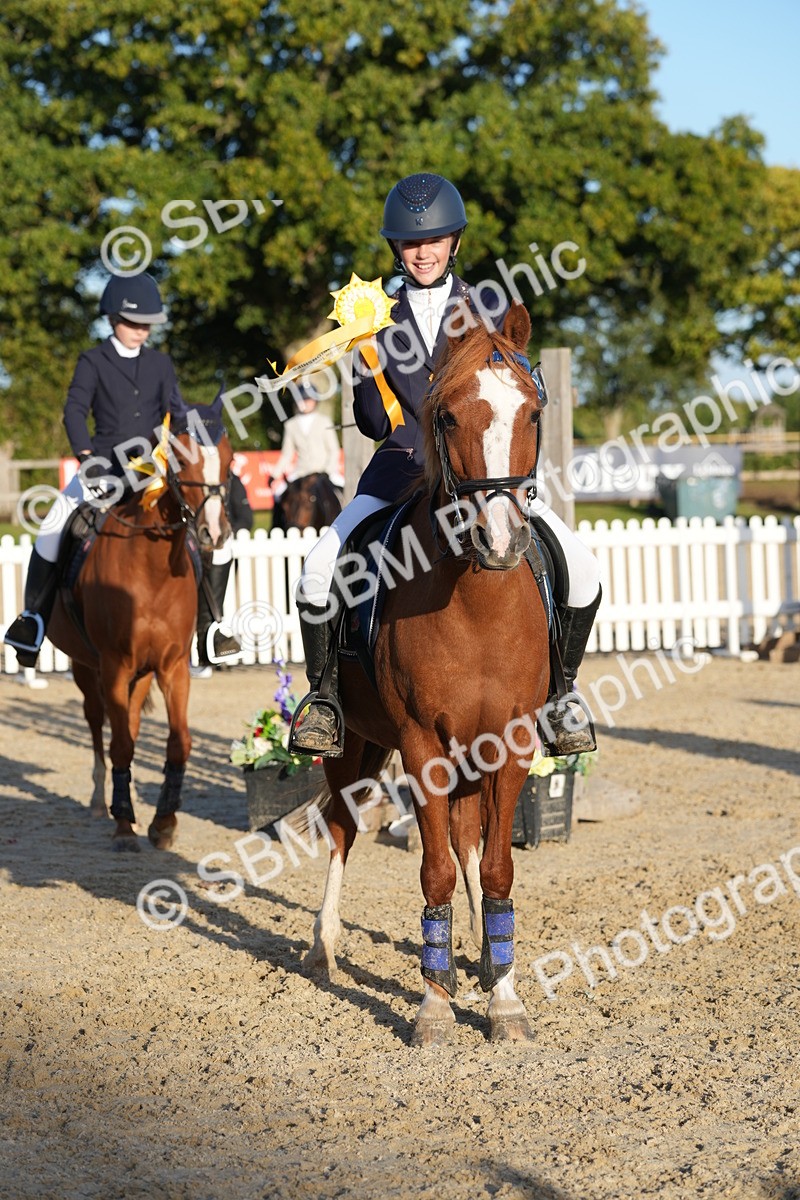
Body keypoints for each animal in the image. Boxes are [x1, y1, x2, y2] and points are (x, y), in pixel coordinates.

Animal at [47, 401, 233, 852]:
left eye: (231, 459)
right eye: (182, 459)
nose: (215, 533)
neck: (151, 570)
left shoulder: (172, 667)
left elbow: (179, 742)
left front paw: (163, 821)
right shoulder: (114, 665)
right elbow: (120, 744)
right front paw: (123, 823)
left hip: (141, 673)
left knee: (127, 720)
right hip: (88, 668)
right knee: (98, 725)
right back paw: (101, 802)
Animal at [300, 302, 551, 1046]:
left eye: (532, 414)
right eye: (446, 416)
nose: (501, 540)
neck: (476, 600)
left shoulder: (509, 739)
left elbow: (493, 865)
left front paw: (503, 998)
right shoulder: (419, 742)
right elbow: (433, 869)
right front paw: (434, 1007)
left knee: (467, 838)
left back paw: (480, 951)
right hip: (354, 743)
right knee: (342, 825)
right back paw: (324, 943)